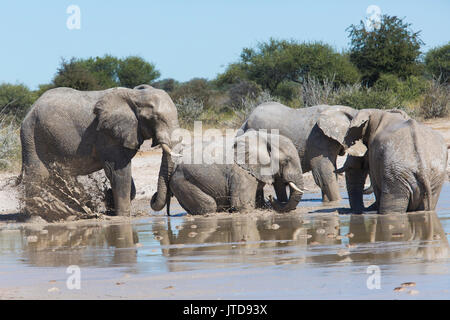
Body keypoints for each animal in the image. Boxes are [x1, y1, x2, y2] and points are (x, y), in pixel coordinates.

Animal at [20, 84, 179, 218]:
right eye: (154, 118)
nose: (154, 196)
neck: (136, 95)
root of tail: (30, 109)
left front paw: (109, 199)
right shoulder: (106, 134)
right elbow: (118, 172)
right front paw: (122, 217)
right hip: (32, 135)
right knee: (37, 175)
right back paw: (37, 219)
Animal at [152, 130, 306, 215]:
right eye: (286, 161)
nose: (271, 197)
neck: (266, 137)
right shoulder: (241, 173)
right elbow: (241, 205)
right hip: (181, 181)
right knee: (209, 206)